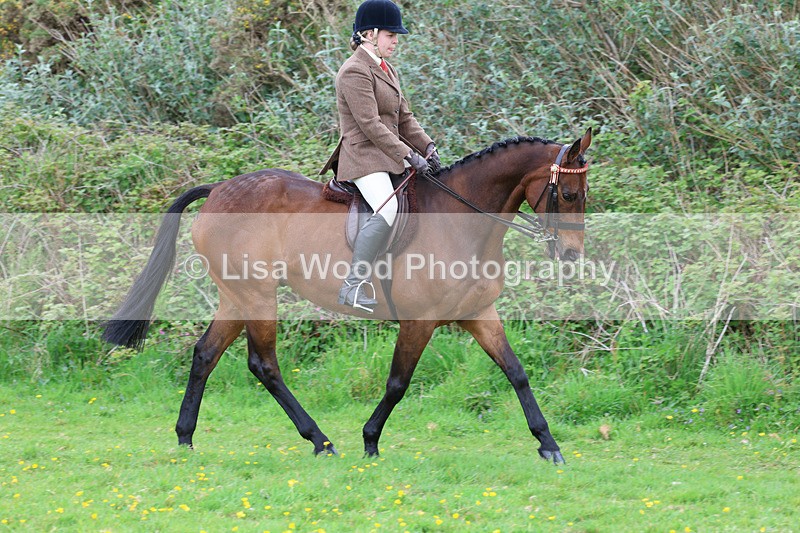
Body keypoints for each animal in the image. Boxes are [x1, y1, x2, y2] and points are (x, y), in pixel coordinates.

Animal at [103, 128, 592, 465]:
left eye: (583, 194)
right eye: (568, 194)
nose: (571, 254)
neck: (463, 222)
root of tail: (219, 189)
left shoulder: (478, 313)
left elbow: (517, 373)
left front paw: (548, 444)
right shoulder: (420, 321)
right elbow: (398, 383)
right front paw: (370, 440)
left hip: (236, 297)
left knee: (206, 354)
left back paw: (185, 437)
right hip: (257, 296)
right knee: (264, 364)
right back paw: (320, 440)